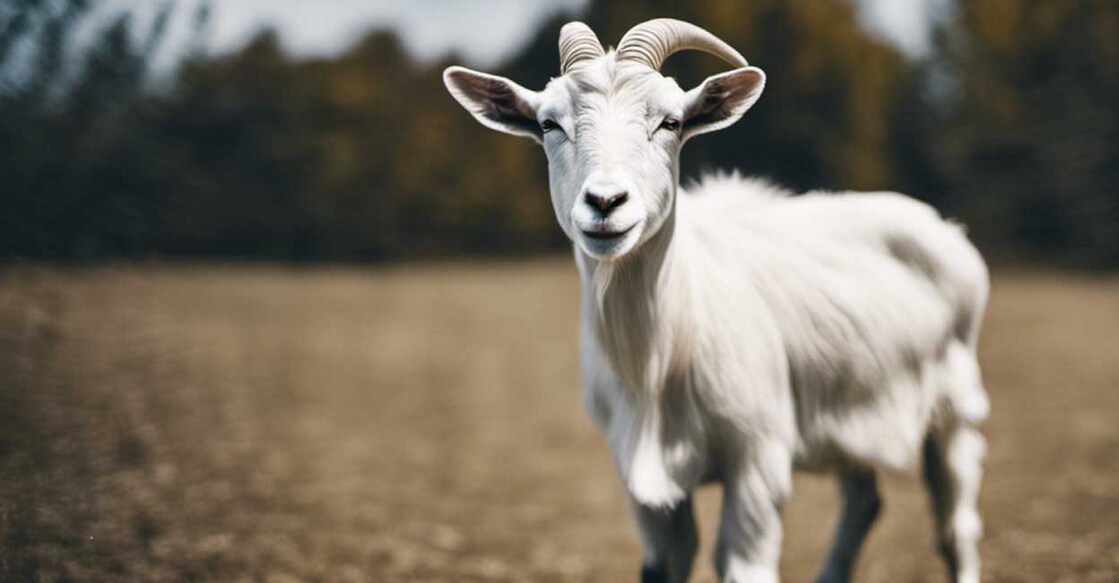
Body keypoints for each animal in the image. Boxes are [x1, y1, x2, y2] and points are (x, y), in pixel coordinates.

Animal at [443, 19, 989, 583]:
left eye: (670, 122)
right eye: (549, 124)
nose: (606, 202)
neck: (660, 358)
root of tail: (942, 225)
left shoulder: (758, 456)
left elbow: (745, 564)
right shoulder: (638, 476)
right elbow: (663, 564)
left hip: (957, 403)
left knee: (956, 525)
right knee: (864, 501)